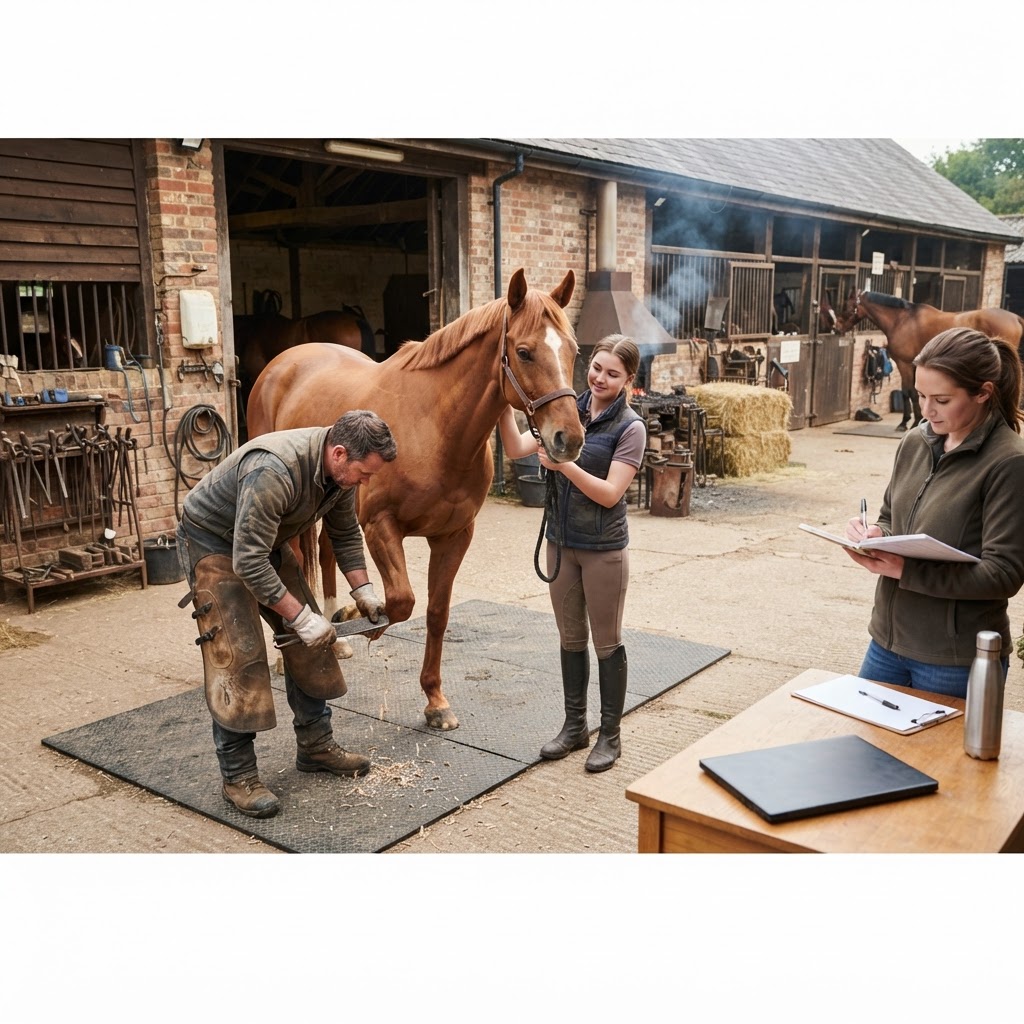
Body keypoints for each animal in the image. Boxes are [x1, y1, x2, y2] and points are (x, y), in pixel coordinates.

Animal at [246, 268, 585, 731]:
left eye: (573, 349)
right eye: (524, 352)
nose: (569, 439)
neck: (435, 427)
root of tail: (283, 363)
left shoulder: (455, 536)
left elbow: (436, 614)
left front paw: (435, 701)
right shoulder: (380, 526)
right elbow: (402, 600)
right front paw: (358, 618)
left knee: (327, 552)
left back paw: (336, 639)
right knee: (296, 559)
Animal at [833, 289, 1024, 431]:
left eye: (848, 305)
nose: (836, 328)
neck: (901, 320)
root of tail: (1016, 317)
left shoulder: (904, 364)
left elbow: (908, 392)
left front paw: (908, 422)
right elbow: (916, 393)